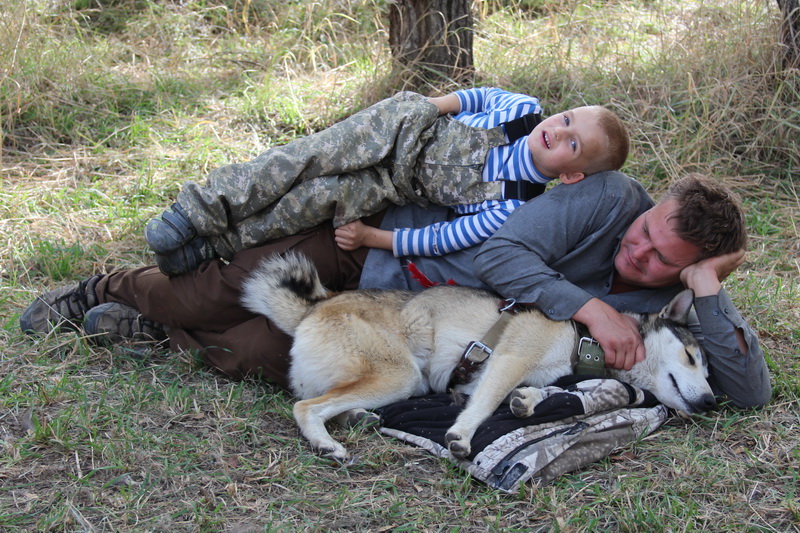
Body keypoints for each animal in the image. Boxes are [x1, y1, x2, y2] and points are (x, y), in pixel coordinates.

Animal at [242, 251, 716, 461]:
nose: (712, 402)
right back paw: (326, 442)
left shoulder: (514, 375)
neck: (585, 339)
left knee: (329, 402)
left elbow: (544, 394)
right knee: (306, 407)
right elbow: (486, 405)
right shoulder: (508, 360)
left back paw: (356, 418)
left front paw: (527, 401)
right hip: (400, 375)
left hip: (391, 382)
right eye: (692, 357)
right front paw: (463, 435)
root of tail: (314, 307)